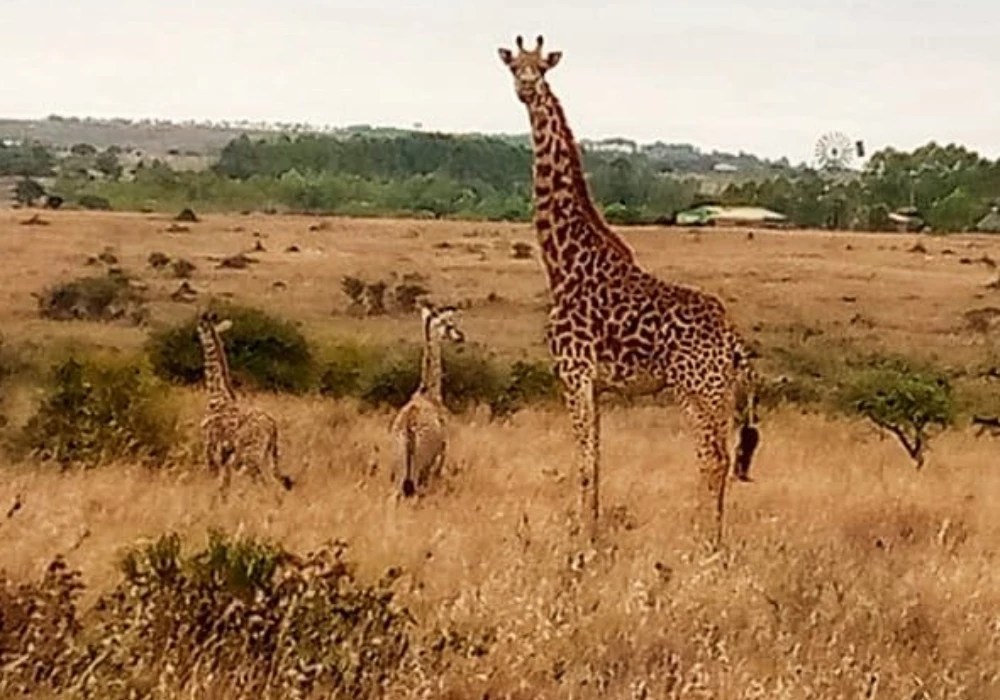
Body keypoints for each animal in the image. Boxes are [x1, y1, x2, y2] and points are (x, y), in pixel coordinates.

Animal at [496, 34, 760, 548]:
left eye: (542, 67)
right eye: (514, 66)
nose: (526, 88)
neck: (563, 263)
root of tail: (732, 340)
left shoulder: (573, 371)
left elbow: (585, 463)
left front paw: (581, 545)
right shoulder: (595, 383)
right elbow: (597, 461)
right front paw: (592, 536)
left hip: (695, 389)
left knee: (711, 458)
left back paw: (704, 546)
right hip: (720, 393)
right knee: (721, 458)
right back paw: (715, 540)